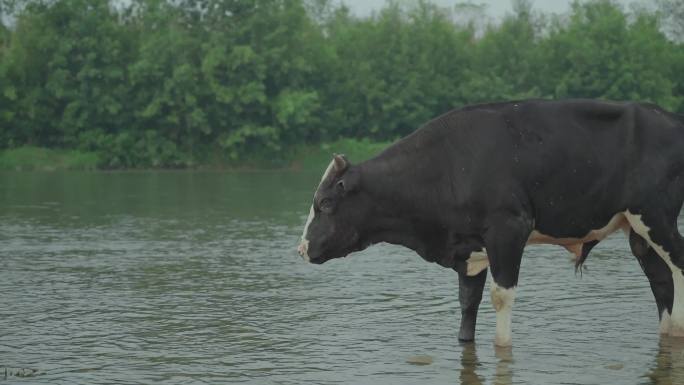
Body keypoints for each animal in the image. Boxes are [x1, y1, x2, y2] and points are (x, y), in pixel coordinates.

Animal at [296, 98, 684, 344]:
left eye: (325, 203)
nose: (301, 248)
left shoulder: (509, 229)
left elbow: (502, 296)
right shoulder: (469, 249)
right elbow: (468, 304)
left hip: (657, 216)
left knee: (679, 267)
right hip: (639, 230)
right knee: (660, 280)